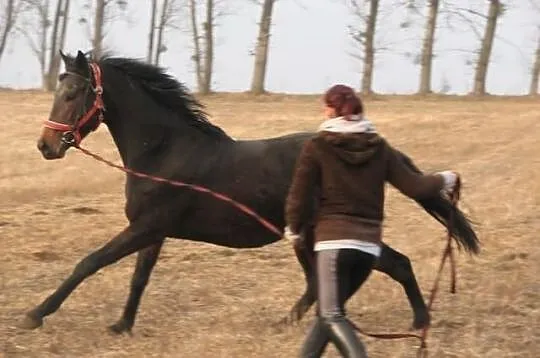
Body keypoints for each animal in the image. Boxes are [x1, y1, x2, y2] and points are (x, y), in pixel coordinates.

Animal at [21, 51, 478, 336]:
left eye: (72, 93)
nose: (46, 146)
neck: (164, 152)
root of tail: (372, 149)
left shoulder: (146, 227)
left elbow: (89, 262)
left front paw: (34, 315)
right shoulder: (153, 232)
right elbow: (139, 279)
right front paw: (122, 326)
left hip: (322, 231)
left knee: (391, 265)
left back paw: (417, 321)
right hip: (310, 235)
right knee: (330, 279)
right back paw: (295, 322)